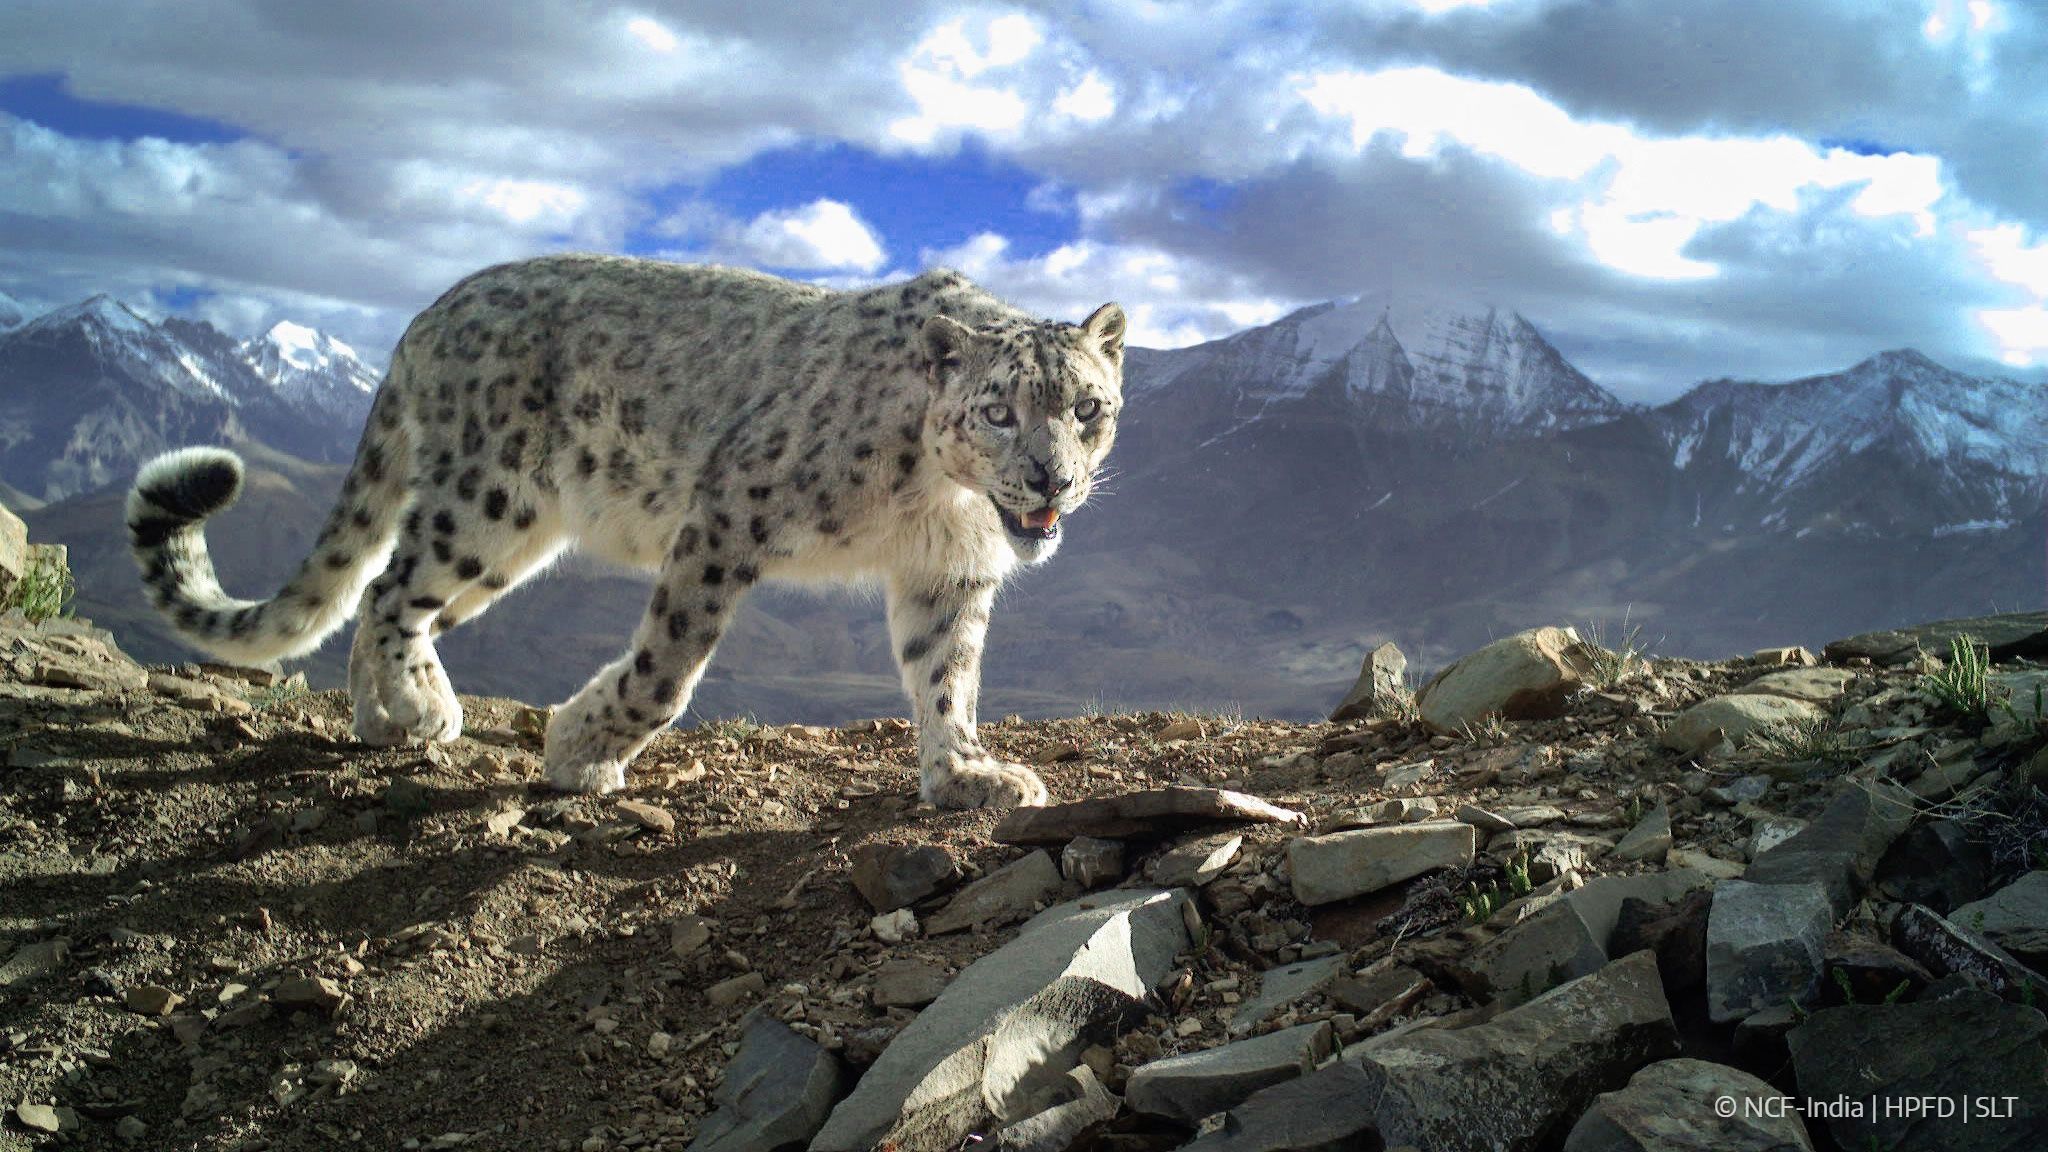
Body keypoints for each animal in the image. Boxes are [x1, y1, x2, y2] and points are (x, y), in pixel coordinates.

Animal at [125, 254, 1125, 809]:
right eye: (997, 410)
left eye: (1087, 407)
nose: (1052, 480)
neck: (938, 503)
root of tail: (425, 316)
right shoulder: (730, 512)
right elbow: (667, 668)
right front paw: (579, 750)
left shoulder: (945, 574)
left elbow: (946, 673)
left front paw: (967, 774)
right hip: (486, 499)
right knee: (391, 587)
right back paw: (418, 709)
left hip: (513, 541)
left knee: (381, 588)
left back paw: (385, 718)